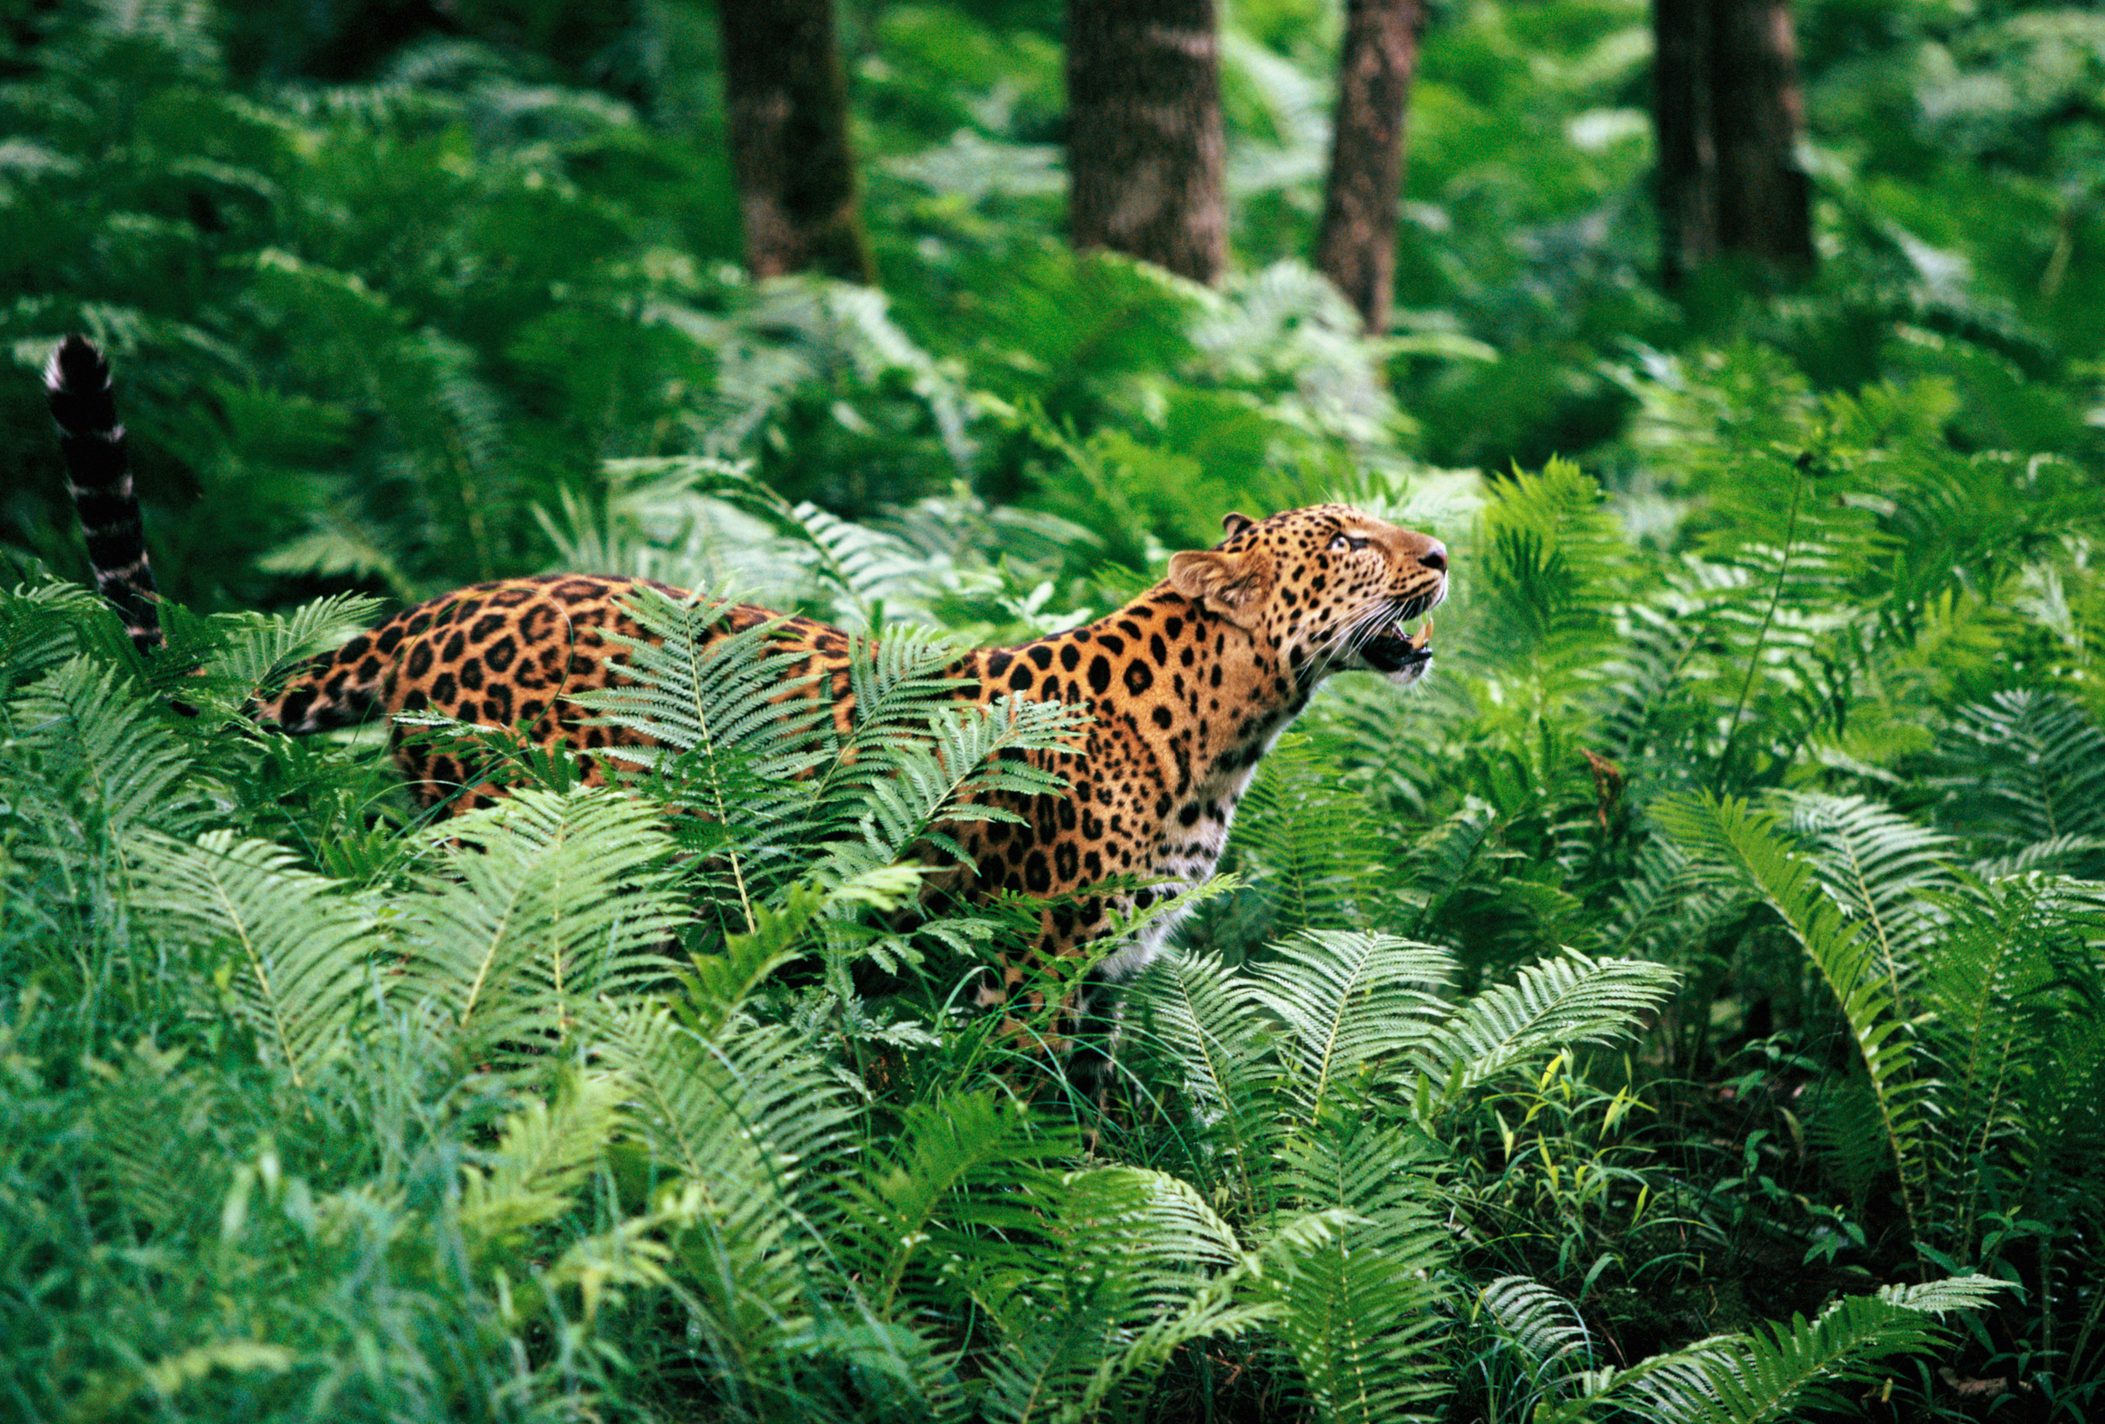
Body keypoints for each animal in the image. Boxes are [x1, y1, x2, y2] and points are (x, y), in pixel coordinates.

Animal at [47, 334, 1448, 1061]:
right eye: (1345, 540)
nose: (1437, 553)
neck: (1231, 734)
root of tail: (440, 605)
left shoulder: (1108, 976)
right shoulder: (1024, 973)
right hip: (504, 830)